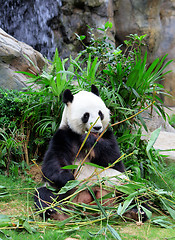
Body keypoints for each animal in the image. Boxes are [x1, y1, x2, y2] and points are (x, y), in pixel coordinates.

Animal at [33, 85, 148, 222]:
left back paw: (136, 212)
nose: (97, 127)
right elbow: (53, 163)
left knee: (136, 193)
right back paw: (55, 212)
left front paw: (90, 140)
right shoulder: (64, 136)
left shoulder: (108, 135)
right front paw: (68, 178)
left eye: (100, 113)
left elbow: (113, 158)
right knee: (45, 195)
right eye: (86, 115)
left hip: (120, 184)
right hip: (63, 192)